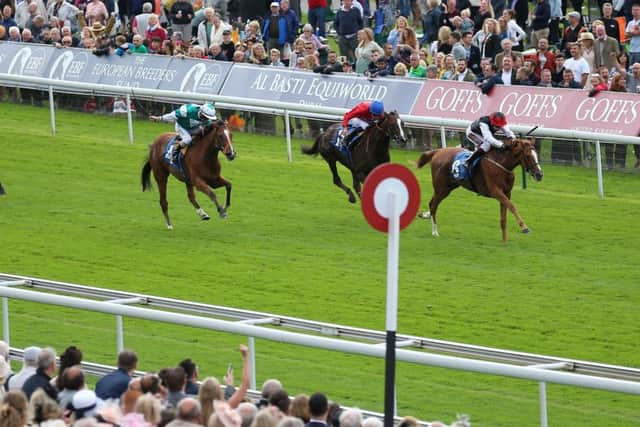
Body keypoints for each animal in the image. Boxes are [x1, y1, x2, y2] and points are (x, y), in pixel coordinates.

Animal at [412, 140, 544, 242]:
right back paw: (435, 231)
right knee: (433, 205)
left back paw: (425, 215)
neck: (501, 164)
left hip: (449, 187)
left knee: (432, 203)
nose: (539, 175)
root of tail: (438, 151)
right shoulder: (496, 191)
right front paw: (524, 227)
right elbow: (512, 206)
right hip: (441, 188)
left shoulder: (507, 193)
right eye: (528, 155)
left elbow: (504, 217)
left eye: (536, 154)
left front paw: (504, 240)